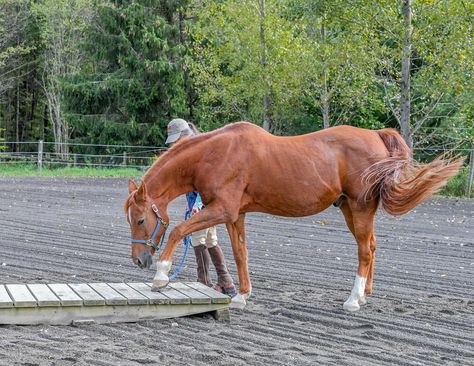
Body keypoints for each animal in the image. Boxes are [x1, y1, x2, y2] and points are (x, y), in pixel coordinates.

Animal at [124, 121, 462, 310]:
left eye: (140, 220)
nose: (139, 260)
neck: (215, 153)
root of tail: (377, 136)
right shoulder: (235, 215)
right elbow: (240, 253)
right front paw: (242, 296)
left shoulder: (221, 210)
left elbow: (179, 229)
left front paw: (161, 276)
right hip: (349, 209)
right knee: (372, 246)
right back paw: (365, 294)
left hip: (361, 207)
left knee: (365, 251)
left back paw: (353, 300)